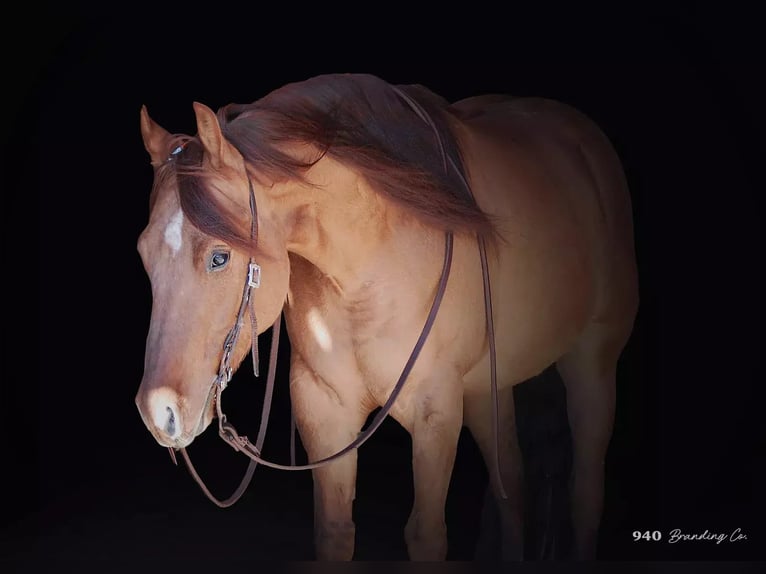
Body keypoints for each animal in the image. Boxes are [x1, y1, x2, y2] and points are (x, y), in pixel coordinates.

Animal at [135, 73, 638, 561]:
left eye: (219, 257)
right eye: (144, 253)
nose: (158, 412)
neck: (370, 268)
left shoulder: (436, 412)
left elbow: (427, 534)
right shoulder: (325, 411)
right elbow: (335, 532)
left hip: (591, 366)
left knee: (584, 492)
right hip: (486, 389)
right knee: (510, 486)